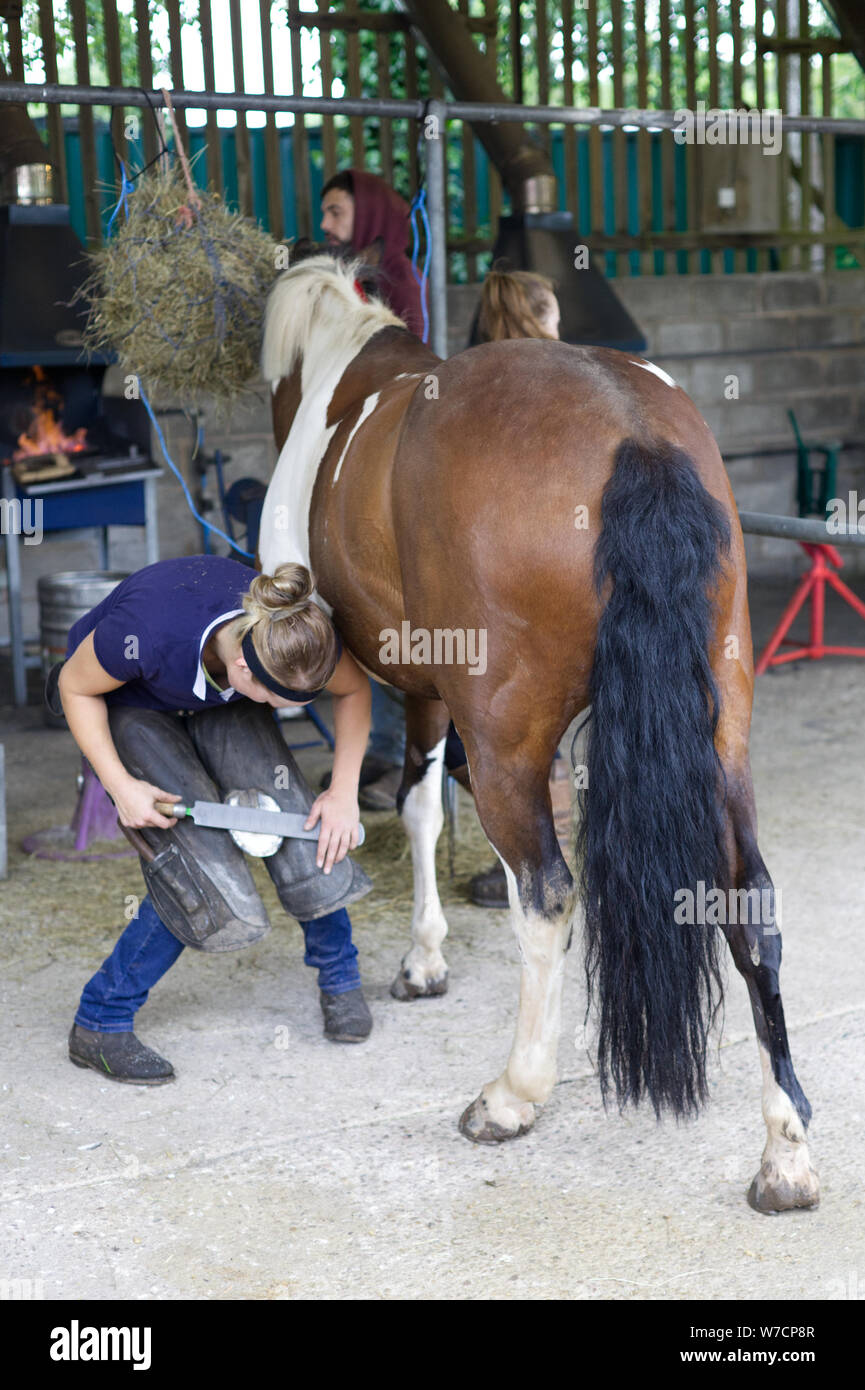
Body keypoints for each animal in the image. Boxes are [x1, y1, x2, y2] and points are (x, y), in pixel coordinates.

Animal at [256, 252, 819, 1214]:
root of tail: (635, 438)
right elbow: (424, 805)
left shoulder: (424, 696)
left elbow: (418, 809)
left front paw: (423, 961)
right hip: (723, 740)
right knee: (748, 904)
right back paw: (783, 1151)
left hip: (505, 743)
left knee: (549, 894)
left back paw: (513, 1094)